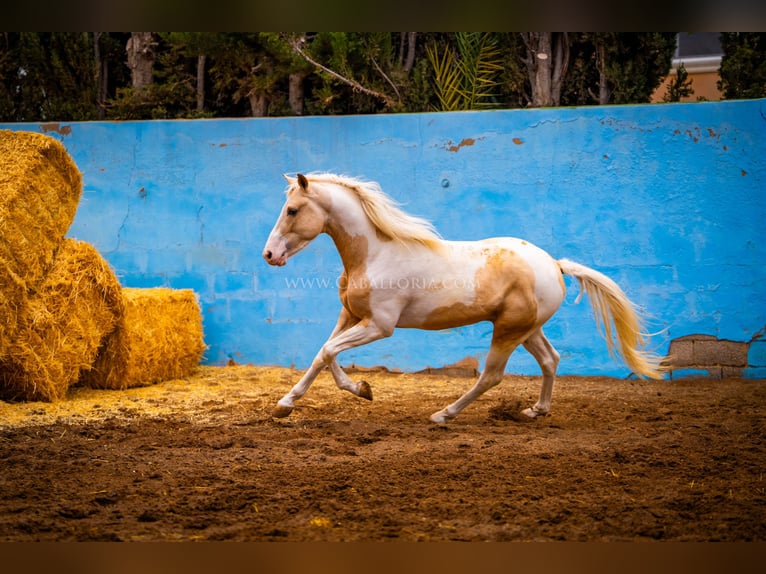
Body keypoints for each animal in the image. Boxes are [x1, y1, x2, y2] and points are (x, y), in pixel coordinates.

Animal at [264, 173, 664, 426]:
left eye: (292, 210)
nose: (269, 255)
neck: (375, 254)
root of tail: (555, 265)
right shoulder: (349, 315)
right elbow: (323, 353)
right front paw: (353, 391)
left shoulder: (379, 325)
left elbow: (328, 351)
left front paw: (299, 402)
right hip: (527, 329)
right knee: (551, 360)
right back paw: (535, 411)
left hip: (507, 331)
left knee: (491, 376)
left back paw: (444, 415)